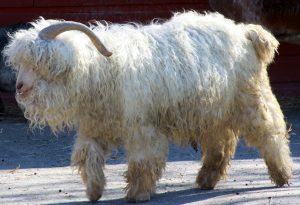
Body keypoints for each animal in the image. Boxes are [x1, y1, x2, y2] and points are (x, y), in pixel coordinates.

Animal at [2, 11, 292, 202]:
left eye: (42, 61)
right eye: (20, 62)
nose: (20, 87)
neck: (101, 70)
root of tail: (245, 33)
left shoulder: (142, 126)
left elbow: (143, 160)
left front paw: (138, 194)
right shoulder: (96, 126)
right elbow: (88, 155)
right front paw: (94, 191)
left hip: (251, 98)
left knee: (269, 133)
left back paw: (282, 175)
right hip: (212, 109)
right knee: (220, 142)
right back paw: (206, 180)